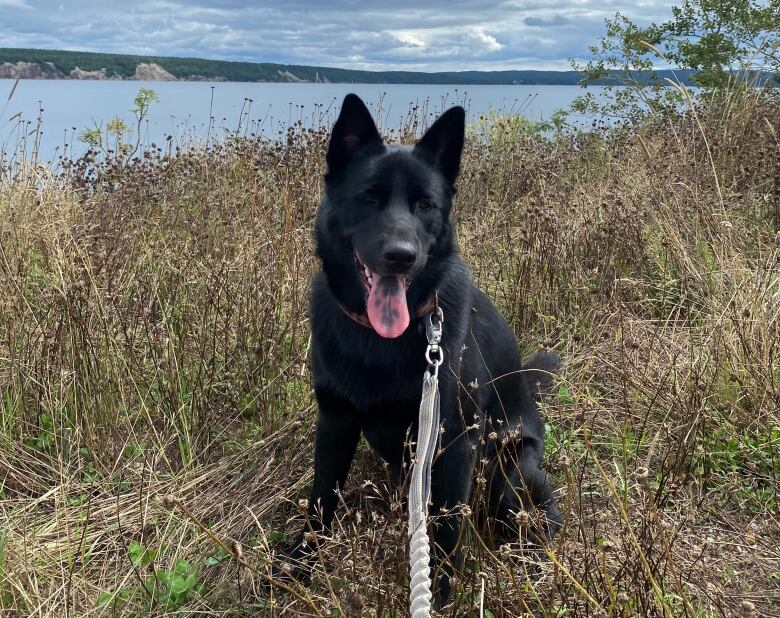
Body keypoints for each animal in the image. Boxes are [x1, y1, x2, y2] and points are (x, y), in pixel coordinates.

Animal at [280, 94, 560, 604]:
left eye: (425, 204)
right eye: (368, 197)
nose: (401, 256)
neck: (380, 340)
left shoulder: (453, 444)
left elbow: (445, 531)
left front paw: (441, 593)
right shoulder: (335, 422)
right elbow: (321, 500)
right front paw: (301, 562)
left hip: (512, 470)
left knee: (539, 518)